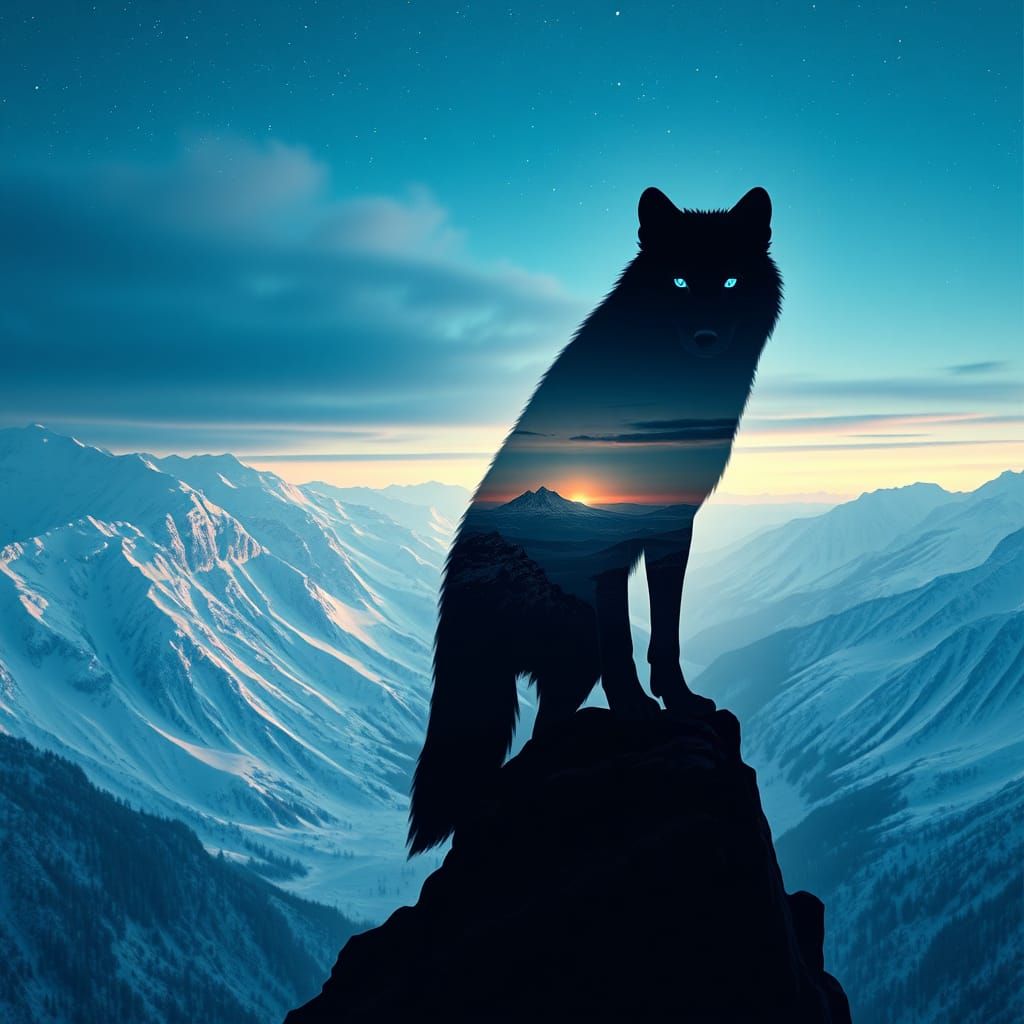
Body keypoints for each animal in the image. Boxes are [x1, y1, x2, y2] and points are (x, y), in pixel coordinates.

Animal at [408, 187, 783, 854]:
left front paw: (680, 702)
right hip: (573, 645)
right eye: (679, 281)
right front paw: (635, 709)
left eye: (731, 280)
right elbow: (624, 639)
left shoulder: (671, 525)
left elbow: (667, 632)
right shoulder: (608, 535)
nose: (706, 336)